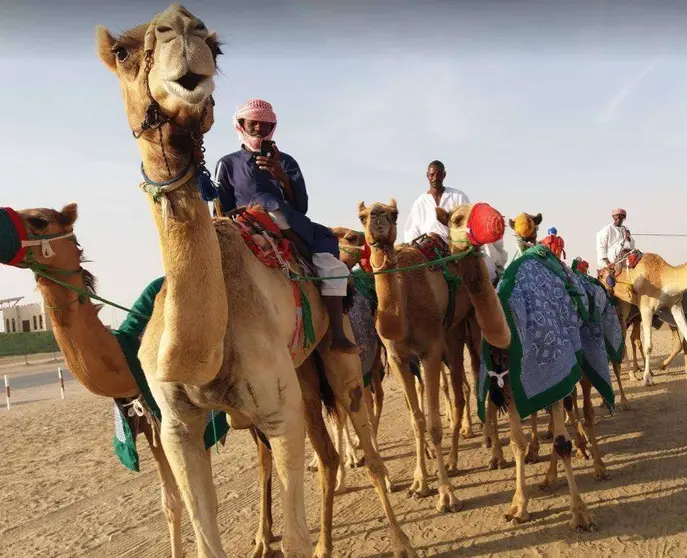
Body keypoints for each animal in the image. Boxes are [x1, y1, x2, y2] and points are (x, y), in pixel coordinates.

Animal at [94, 5, 416, 558]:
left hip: (342, 366)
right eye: (122, 52)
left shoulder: (277, 414)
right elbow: (207, 538)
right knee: (329, 455)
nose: (181, 27)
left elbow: (295, 537)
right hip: (303, 377)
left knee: (366, 445)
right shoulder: (178, 429)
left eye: (215, 44)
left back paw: (399, 538)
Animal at [354, 199, 510, 516]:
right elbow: (417, 420)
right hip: (452, 333)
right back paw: (454, 460)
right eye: (362, 216)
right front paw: (419, 483)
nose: (377, 218)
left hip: (470, 327)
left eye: (394, 214)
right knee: (462, 388)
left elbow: (436, 424)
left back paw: (495, 453)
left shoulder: (430, 351)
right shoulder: (398, 358)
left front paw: (447, 495)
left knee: (480, 380)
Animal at [600, 253, 687, 388]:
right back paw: (631, 374)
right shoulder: (647, 308)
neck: (663, 276)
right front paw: (647, 379)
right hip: (621, 308)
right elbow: (648, 346)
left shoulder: (675, 305)